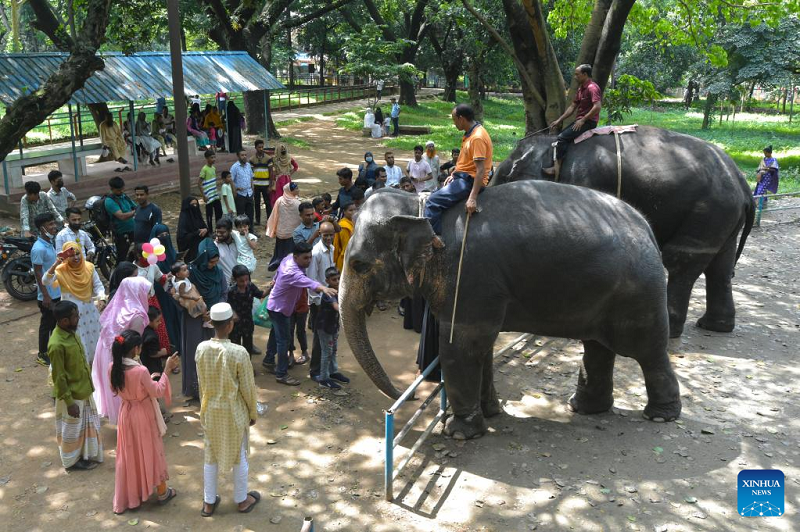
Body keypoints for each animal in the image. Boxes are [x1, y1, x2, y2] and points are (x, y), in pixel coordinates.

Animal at [340, 183, 684, 440]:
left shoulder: (469, 278)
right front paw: (490, 413)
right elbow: (481, 349)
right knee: (598, 348)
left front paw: (458, 432)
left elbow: (460, 347)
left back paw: (660, 416)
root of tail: (648, 229)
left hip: (639, 295)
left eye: (359, 265)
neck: (419, 205)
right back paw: (583, 407)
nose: (407, 395)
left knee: (645, 350)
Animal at [494, 124, 756, 336]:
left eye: (505, 175)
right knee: (720, 266)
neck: (554, 145)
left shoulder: (584, 180)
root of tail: (743, 183)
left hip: (707, 211)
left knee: (682, 261)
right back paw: (714, 326)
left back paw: (671, 330)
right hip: (723, 219)